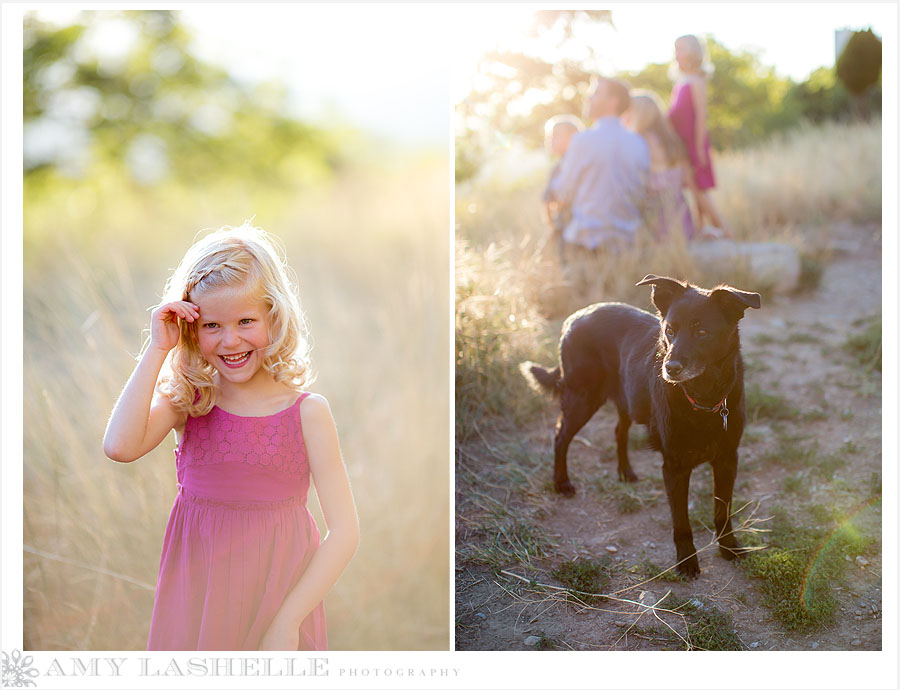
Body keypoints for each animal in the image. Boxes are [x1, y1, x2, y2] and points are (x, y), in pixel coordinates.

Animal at [520, 274, 760, 576]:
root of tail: (574, 317)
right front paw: (687, 561)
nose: (671, 368)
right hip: (582, 399)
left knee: (618, 431)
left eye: (703, 332)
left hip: (627, 401)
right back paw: (562, 483)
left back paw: (626, 472)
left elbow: (723, 511)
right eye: (669, 330)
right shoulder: (675, 467)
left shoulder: (728, 460)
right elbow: (681, 522)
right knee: (560, 436)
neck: (704, 397)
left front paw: (729, 547)